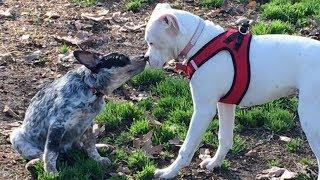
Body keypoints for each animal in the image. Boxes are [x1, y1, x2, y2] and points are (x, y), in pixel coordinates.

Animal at [9, 50, 146, 175]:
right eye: (121, 58)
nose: (144, 56)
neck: (90, 87)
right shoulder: (57, 125)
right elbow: (51, 153)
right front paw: (51, 172)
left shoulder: (88, 123)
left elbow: (90, 144)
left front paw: (98, 159)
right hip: (16, 136)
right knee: (43, 154)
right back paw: (34, 163)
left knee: (79, 146)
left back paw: (101, 146)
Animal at [146, 3, 320, 180]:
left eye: (151, 43)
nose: (145, 58)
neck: (199, 42)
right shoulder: (225, 104)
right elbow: (224, 138)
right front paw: (215, 163)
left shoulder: (203, 111)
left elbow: (186, 147)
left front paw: (169, 171)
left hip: (310, 119)